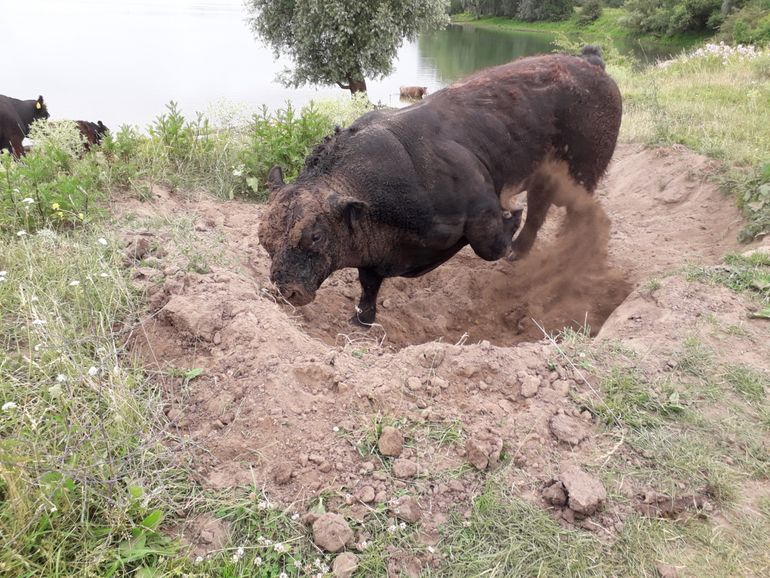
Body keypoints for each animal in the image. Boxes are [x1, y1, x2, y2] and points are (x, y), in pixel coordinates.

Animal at [260, 47, 620, 326]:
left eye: (316, 236)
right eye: (264, 241)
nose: (287, 291)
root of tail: (590, 64)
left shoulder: (481, 208)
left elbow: (489, 245)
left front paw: (511, 219)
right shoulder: (371, 251)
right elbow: (368, 283)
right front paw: (363, 317)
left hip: (580, 175)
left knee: (568, 212)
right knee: (540, 207)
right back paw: (522, 251)